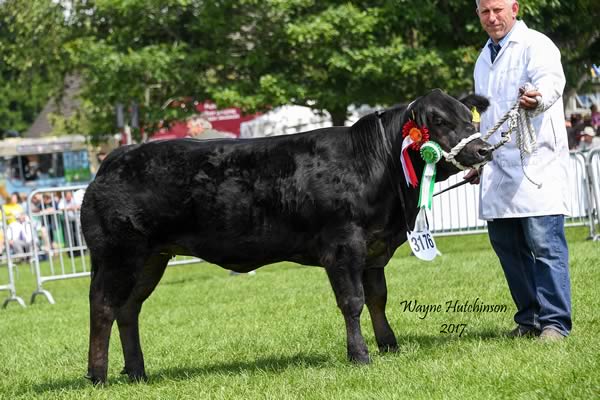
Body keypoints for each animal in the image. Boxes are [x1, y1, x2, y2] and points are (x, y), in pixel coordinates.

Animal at [82, 88, 490, 384]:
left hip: (151, 258)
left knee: (128, 309)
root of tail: (115, 158)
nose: (483, 148)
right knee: (103, 307)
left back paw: (137, 372)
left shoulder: (375, 248)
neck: (375, 166)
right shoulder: (343, 247)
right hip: (119, 255)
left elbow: (378, 299)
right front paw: (360, 355)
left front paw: (390, 346)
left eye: (467, 116)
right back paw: (98, 375)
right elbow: (353, 302)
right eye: (438, 120)